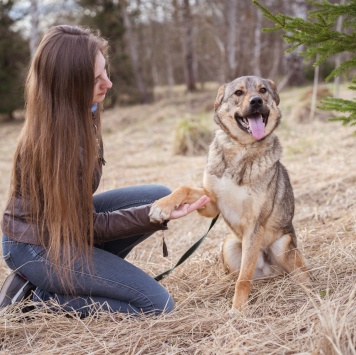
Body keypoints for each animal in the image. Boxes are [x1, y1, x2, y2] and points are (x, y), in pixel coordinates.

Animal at [148, 76, 308, 312]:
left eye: (263, 90)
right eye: (239, 93)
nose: (256, 101)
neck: (241, 148)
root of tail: (269, 269)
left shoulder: (254, 224)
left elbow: (244, 279)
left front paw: (238, 309)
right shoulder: (211, 203)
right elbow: (183, 188)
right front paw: (162, 206)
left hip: (282, 245)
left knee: (295, 274)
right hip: (229, 245)